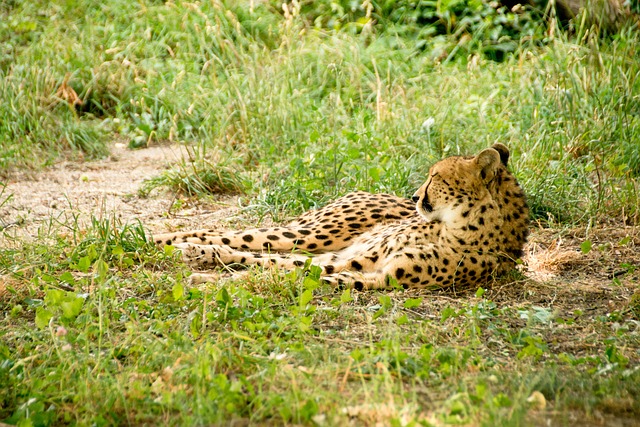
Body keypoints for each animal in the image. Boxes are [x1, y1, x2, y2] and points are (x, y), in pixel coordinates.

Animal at [152, 144, 528, 290]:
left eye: (435, 177)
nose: (415, 197)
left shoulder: (378, 274)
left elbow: (291, 271)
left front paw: (217, 279)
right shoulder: (356, 256)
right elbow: (274, 264)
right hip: (314, 233)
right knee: (233, 234)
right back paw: (158, 240)